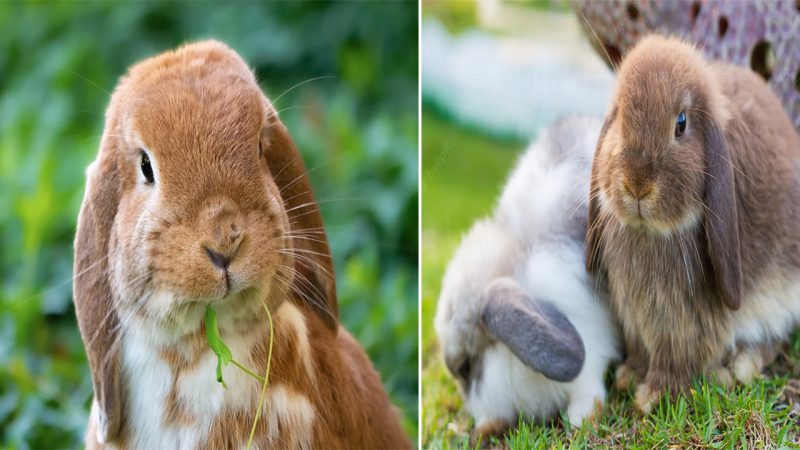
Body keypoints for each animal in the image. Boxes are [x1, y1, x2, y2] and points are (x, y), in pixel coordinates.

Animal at [584, 35, 800, 414]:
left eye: (681, 124)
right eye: (620, 115)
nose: (637, 186)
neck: (652, 232)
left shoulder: (687, 324)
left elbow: (679, 357)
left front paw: (655, 395)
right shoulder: (635, 316)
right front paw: (629, 375)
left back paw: (740, 366)